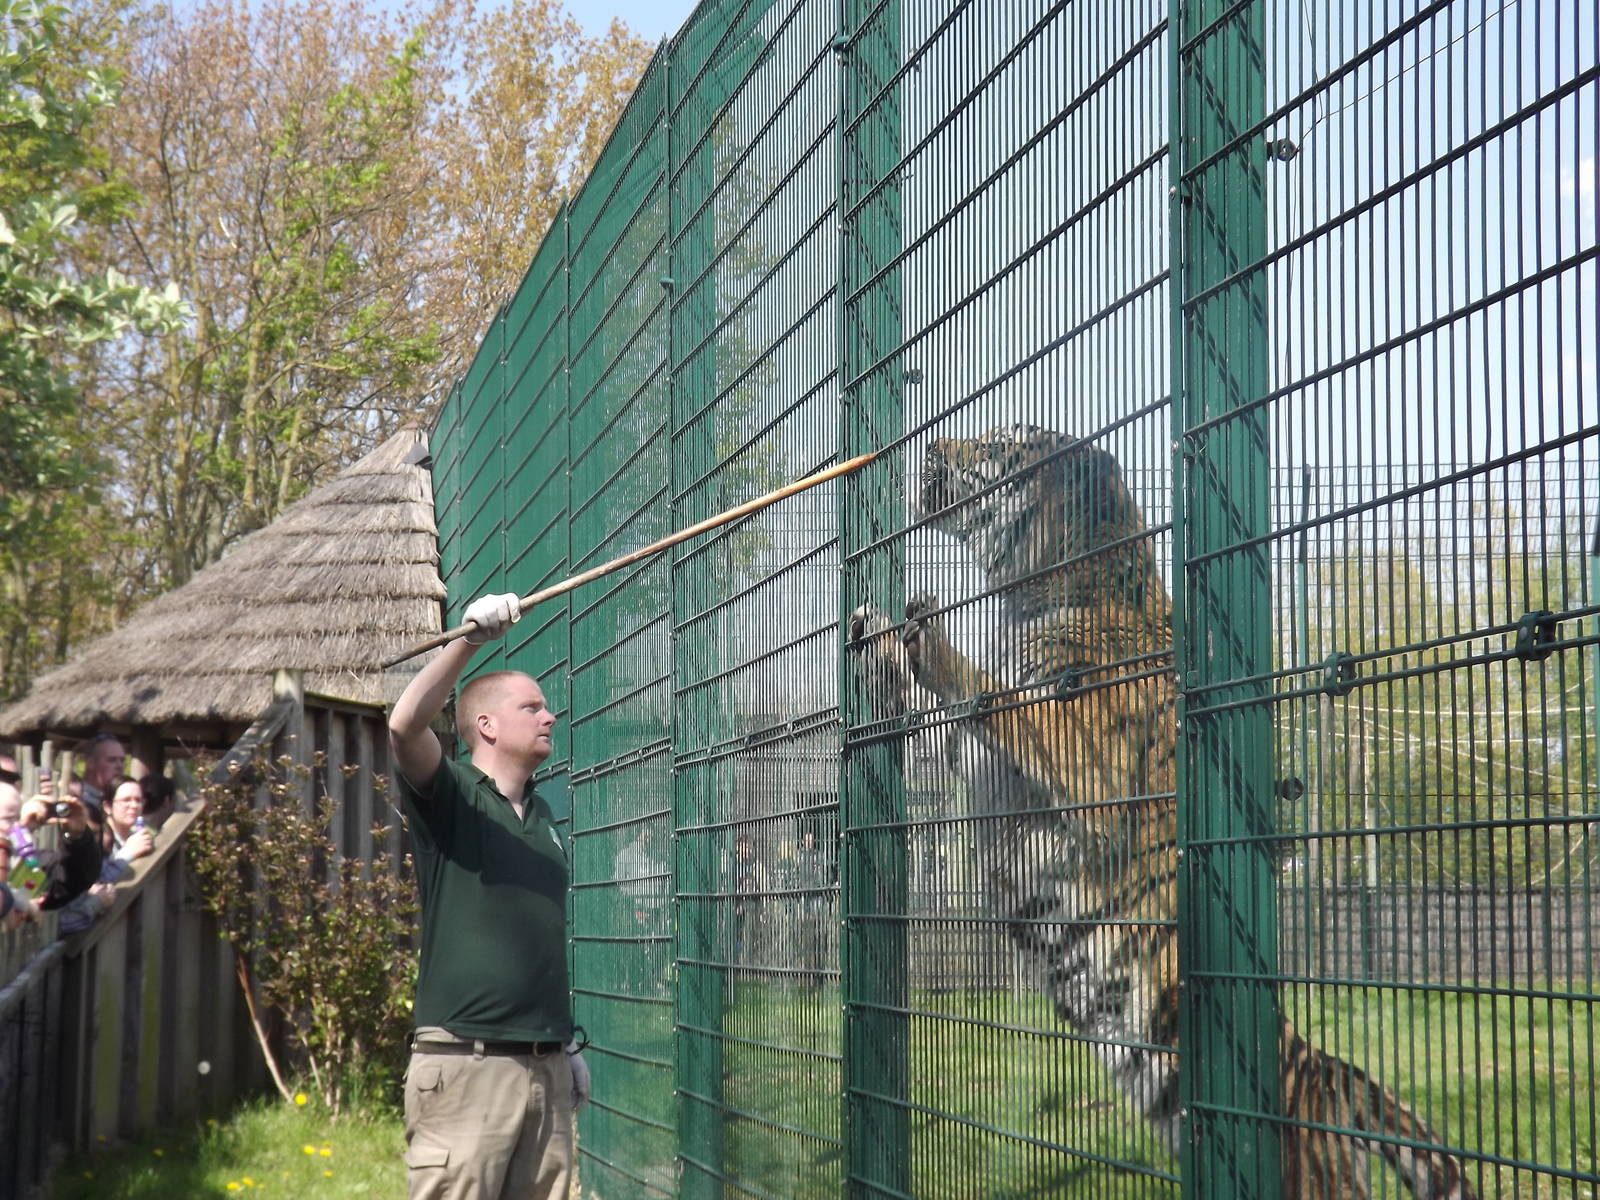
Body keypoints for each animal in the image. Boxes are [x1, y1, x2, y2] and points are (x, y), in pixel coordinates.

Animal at [848, 424, 1476, 1200]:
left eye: (997, 444)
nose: (932, 443)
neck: (1036, 591)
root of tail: (1329, 1072)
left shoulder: (1089, 763)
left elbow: (1003, 700)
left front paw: (926, 636)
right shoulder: (982, 762)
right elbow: (939, 718)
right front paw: (874, 637)